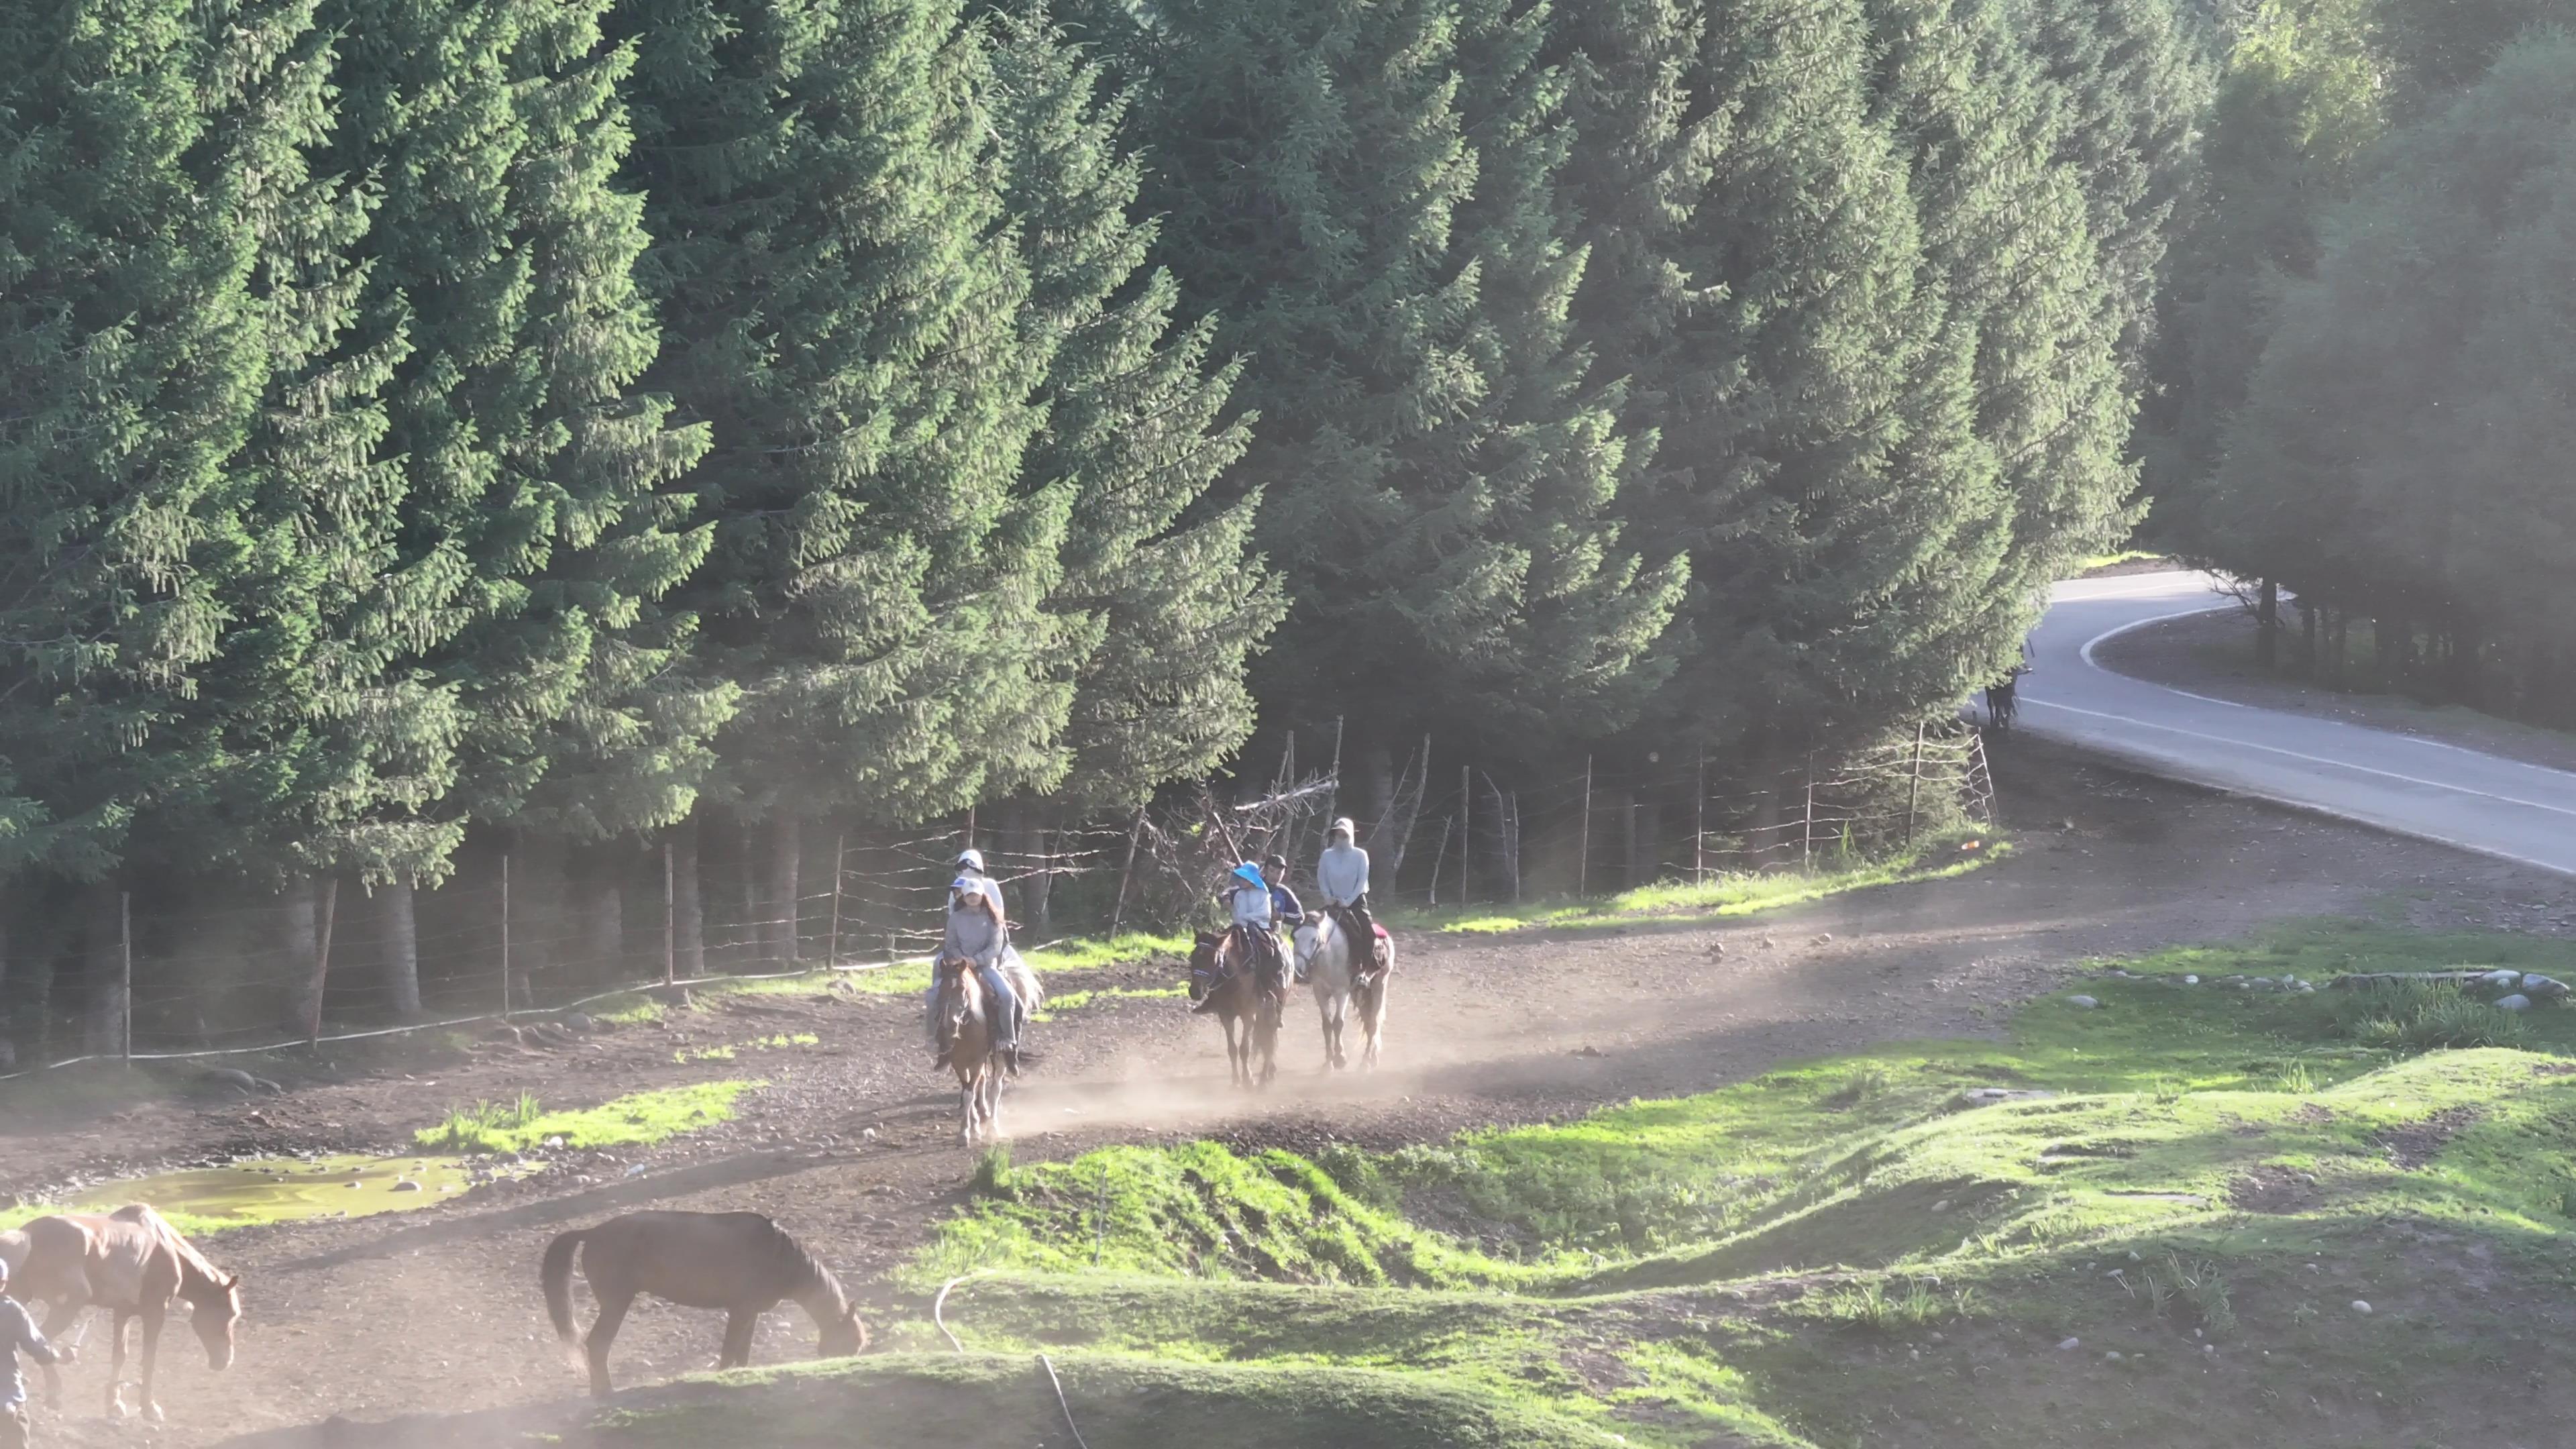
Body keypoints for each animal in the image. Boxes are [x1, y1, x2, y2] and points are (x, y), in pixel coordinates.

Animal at [9, 1201, 241, 1413]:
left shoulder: (122, 1312)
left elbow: (119, 1355)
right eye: (230, 1314)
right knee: (41, 1344)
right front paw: (149, 1407)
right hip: (65, 1307)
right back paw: (54, 1395)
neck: (167, 1249)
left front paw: (114, 1404)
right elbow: (149, 1358)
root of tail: (28, 1234)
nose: (225, 1361)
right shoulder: (155, 1312)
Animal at [541, 1201, 865, 1392]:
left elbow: (742, 1353)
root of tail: (593, 1232)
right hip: (615, 1304)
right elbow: (729, 1352)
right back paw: (605, 1392)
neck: (777, 1256)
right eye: (849, 1343)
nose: (841, 1371)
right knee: (597, 1345)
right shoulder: (740, 1311)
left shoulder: (750, 1313)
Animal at [1179, 922, 1283, 1083]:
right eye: (1193, 956)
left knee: (1269, 1038)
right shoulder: (1226, 1016)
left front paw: (1248, 1079)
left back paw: (1267, 1075)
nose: (1195, 991)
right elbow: (1232, 1049)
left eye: (1213, 958)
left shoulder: (1248, 1016)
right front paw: (1236, 1081)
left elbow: (1245, 1049)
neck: (1234, 981)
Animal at [1288, 907, 1391, 1067]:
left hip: (1379, 986)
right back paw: (1373, 1057)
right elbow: (1326, 1025)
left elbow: (1338, 1024)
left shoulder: (1341, 993)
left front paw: (1340, 1058)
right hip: (1359, 992)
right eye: (1294, 938)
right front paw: (1328, 1063)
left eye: (1314, 939)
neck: (1329, 957)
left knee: (1374, 1023)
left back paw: (1366, 1061)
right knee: (1368, 1021)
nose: (1297, 970)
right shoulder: (1320, 992)